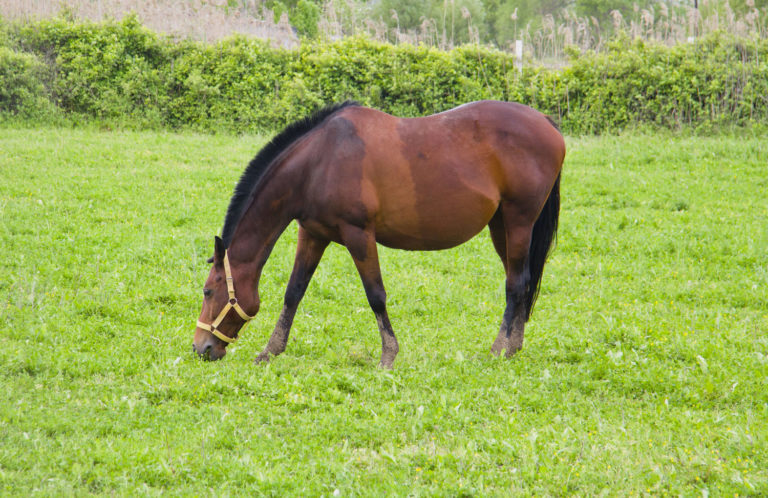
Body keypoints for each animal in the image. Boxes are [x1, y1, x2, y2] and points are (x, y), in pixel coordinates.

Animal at [193, 100, 565, 368]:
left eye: (209, 291)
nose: (201, 347)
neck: (318, 162)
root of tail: (546, 122)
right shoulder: (312, 234)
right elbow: (293, 292)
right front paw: (270, 350)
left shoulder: (359, 235)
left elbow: (376, 295)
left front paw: (388, 355)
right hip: (502, 226)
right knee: (523, 280)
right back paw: (514, 346)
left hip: (518, 221)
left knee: (515, 284)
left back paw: (500, 348)